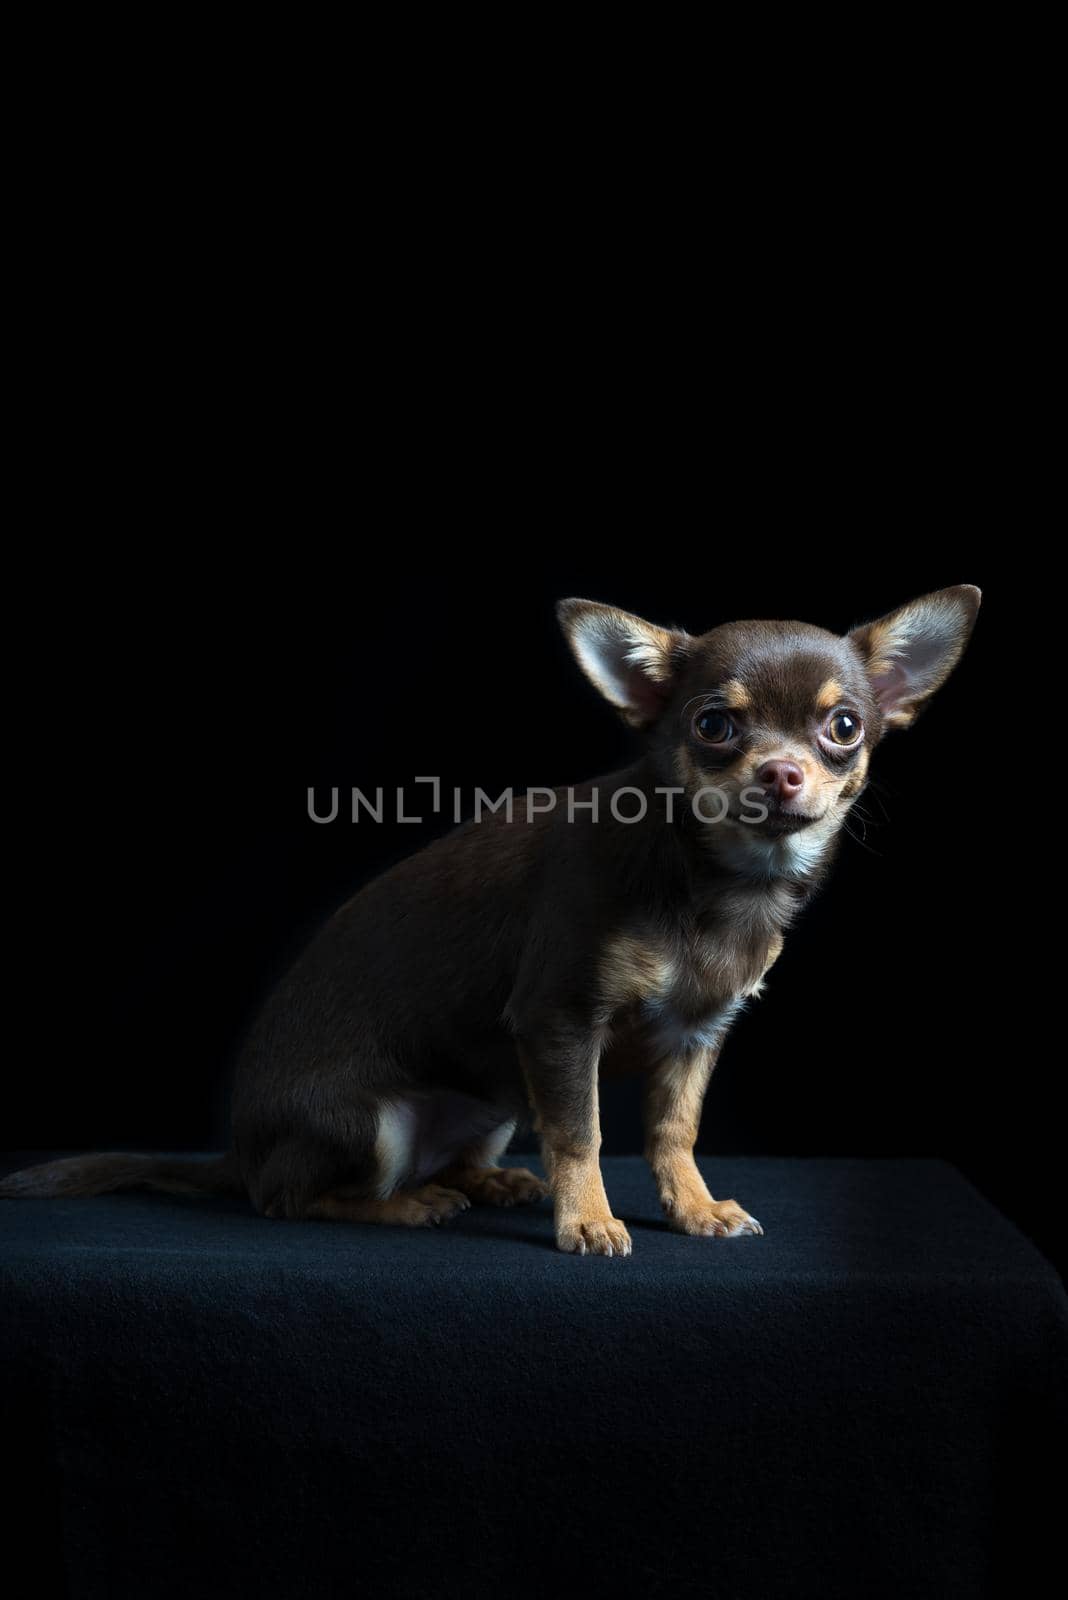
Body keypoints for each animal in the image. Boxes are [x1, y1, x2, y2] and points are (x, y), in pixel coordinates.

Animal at [0, 582, 978, 1254]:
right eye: (714, 727)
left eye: (844, 728)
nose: (781, 774)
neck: (715, 883)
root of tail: (240, 1153)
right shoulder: (559, 1022)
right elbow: (583, 1132)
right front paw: (588, 1222)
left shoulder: (697, 1036)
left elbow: (674, 1129)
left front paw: (694, 1206)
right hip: (376, 1123)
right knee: (290, 1198)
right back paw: (407, 1203)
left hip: (498, 1093)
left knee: (474, 1147)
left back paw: (495, 1182)